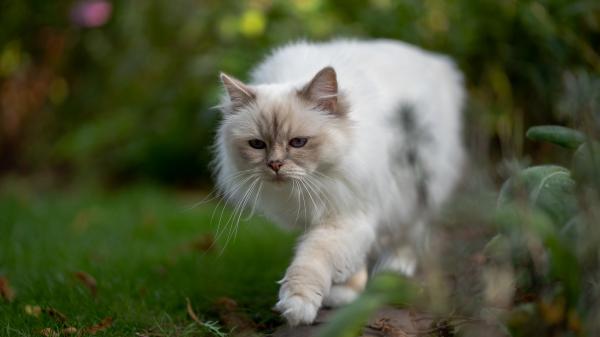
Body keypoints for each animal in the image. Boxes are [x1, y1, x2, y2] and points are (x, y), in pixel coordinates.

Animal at [213, 38, 466, 324]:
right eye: (257, 145)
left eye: (298, 142)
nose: (275, 165)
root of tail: (436, 60)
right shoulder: (329, 217)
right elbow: (350, 260)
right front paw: (345, 293)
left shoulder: (344, 217)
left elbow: (310, 262)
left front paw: (298, 306)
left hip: (413, 190)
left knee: (411, 231)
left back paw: (396, 268)